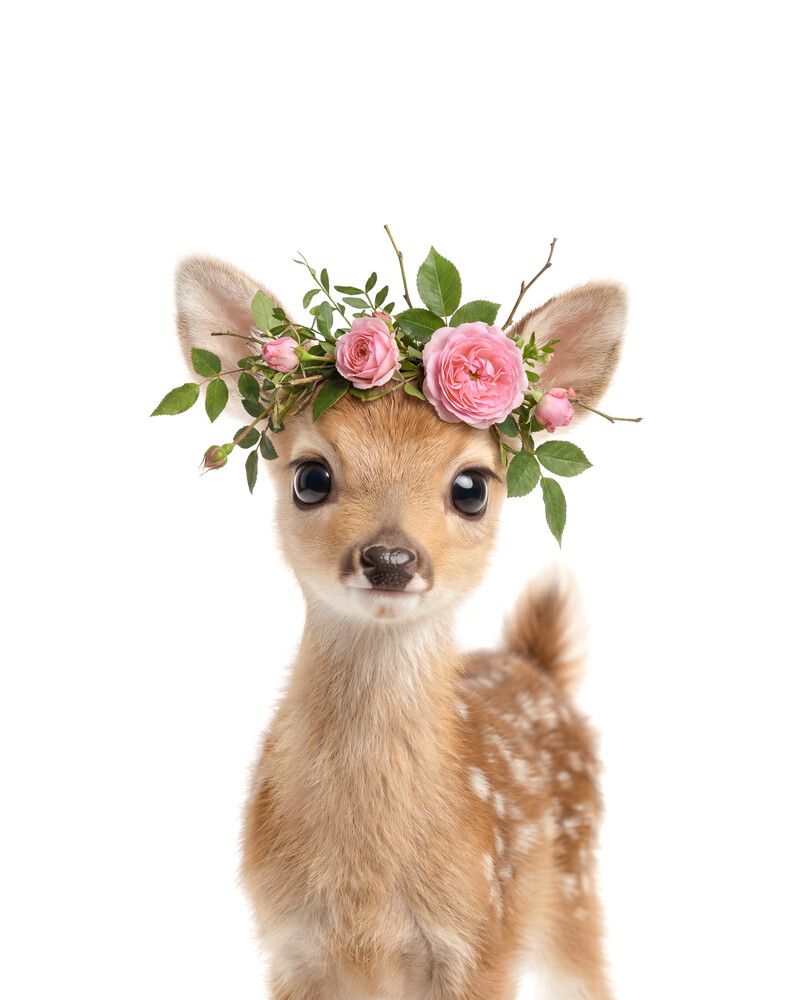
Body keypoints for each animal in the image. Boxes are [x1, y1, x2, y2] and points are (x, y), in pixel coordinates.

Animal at [173, 254, 627, 1000]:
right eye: (311, 476)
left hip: (574, 887)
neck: (366, 890)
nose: (390, 559)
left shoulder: (481, 941)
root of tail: (535, 664)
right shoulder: (290, 947)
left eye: (471, 487)